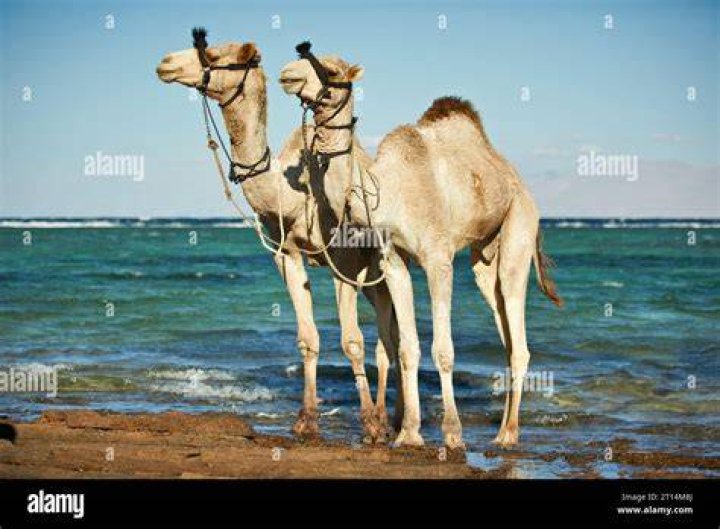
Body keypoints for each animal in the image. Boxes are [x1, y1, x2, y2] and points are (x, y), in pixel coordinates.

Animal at [155, 31, 401, 442]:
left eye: (214, 54)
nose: (166, 63)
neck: (292, 193)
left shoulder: (343, 260)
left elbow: (352, 342)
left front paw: (367, 423)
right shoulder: (286, 253)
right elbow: (308, 339)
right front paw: (306, 422)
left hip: (373, 266)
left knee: (387, 337)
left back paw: (385, 421)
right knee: (390, 335)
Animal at [279, 45, 562, 448]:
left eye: (331, 70)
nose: (287, 73)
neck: (388, 190)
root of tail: (518, 181)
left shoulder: (437, 258)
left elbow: (442, 350)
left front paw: (453, 434)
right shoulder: (393, 259)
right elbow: (407, 347)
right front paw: (409, 433)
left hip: (519, 228)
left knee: (518, 335)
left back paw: (507, 435)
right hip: (483, 261)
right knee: (507, 338)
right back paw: (504, 429)